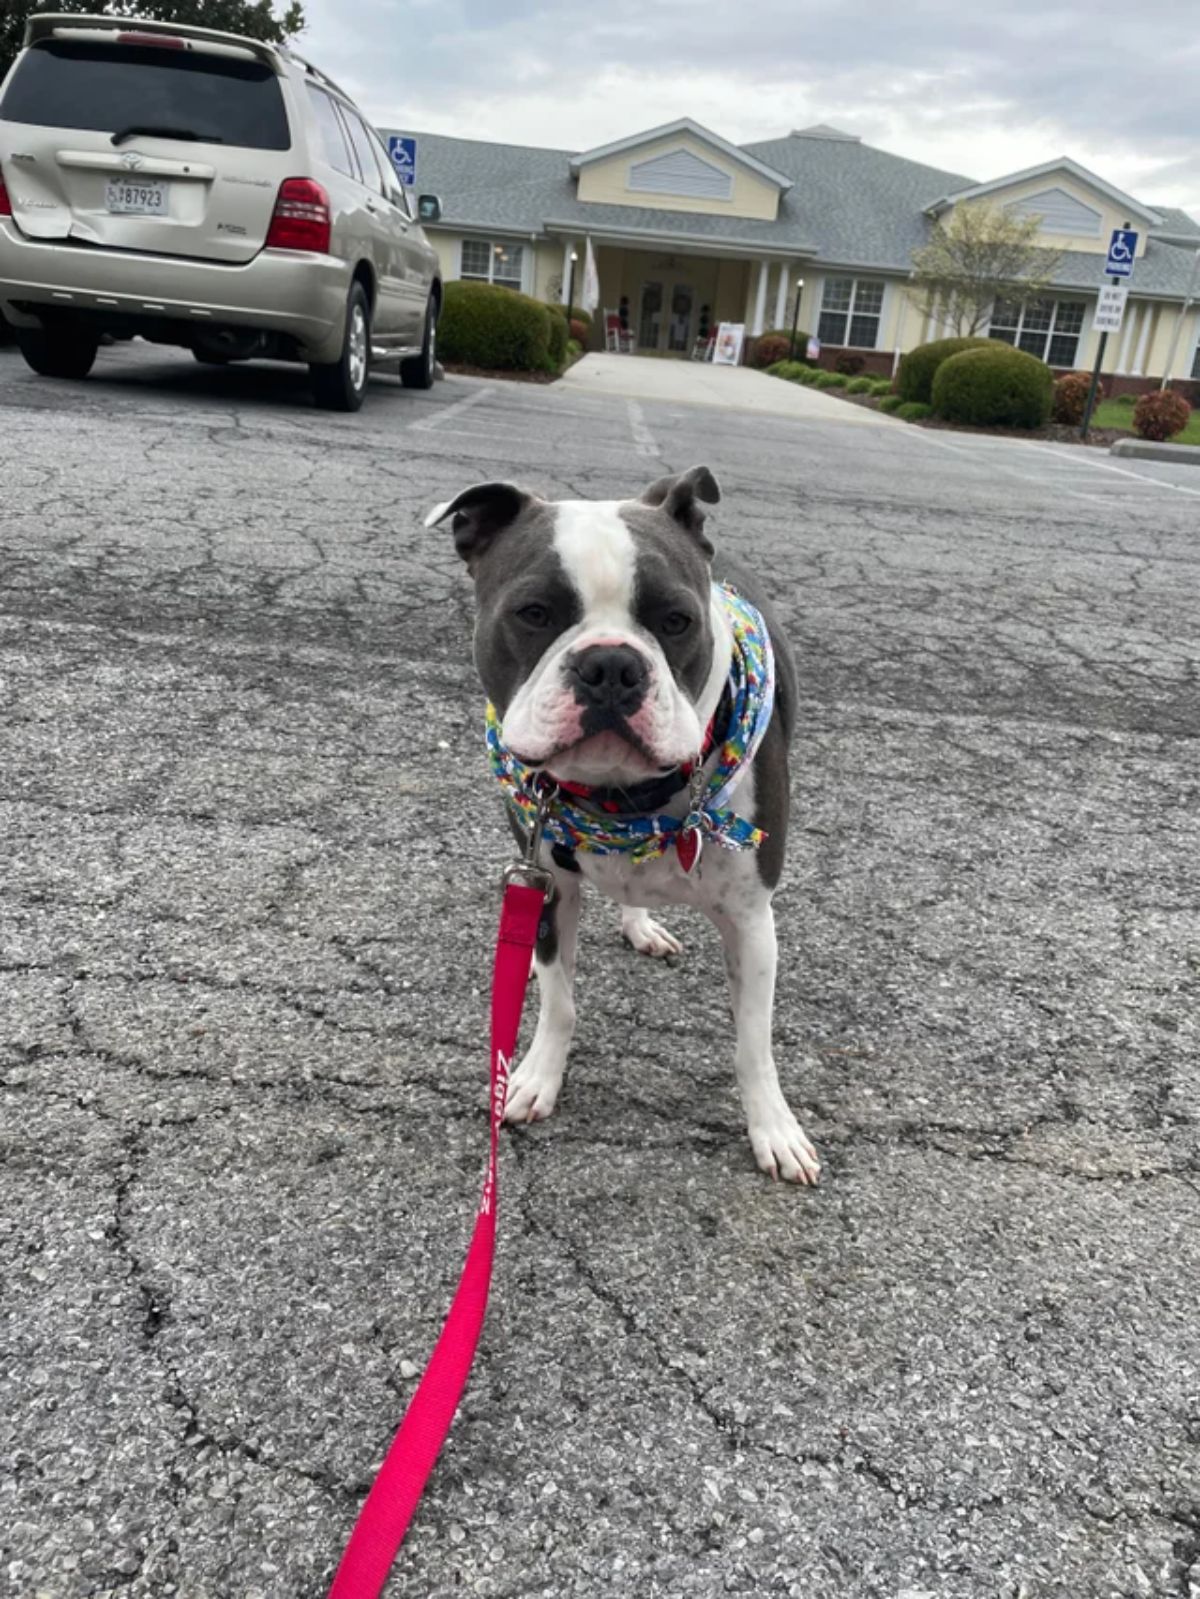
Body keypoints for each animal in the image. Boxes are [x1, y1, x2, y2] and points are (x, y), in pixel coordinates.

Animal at [428, 463, 825, 1189]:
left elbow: (753, 1042)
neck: (622, 801)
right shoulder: (548, 884)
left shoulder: (753, 919)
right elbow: (559, 1001)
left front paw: (774, 1128)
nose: (611, 664)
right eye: (534, 613)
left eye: (677, 620)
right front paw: (536, 1077)